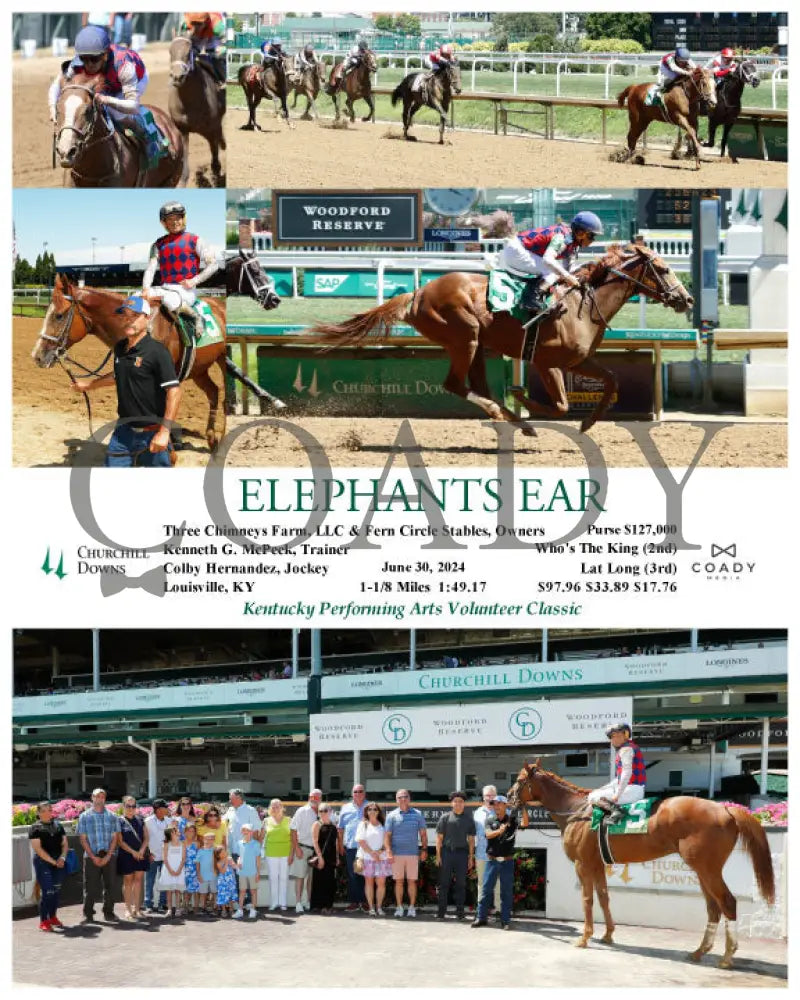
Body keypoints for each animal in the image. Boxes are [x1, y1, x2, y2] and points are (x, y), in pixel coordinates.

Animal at [30, 272, 227, 448]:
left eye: (59, 315)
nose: (37, 355)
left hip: (223, 359)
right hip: (199, 369)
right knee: (213, 392)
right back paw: (211, 438)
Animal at [53, 67, 184, 187]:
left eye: (87, 110)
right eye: (58, 109)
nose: (66, 152)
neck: (92, 173)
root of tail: (167, 121)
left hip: (170, 180)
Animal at [167, 35, 225, 188]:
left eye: (189, 53)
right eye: (170, 52)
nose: (177, 77)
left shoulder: (213, 127)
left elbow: (214, 150)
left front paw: (216, 175)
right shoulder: (182, 129)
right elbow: (185, 154)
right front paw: (183, 180)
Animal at [310, 244, 692, 436]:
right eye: (664, 269)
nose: (686, 299)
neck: (581, 307)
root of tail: (417, 293)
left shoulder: (578, 360)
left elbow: (611, 380)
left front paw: (587, 422)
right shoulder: (546, 362)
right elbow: (559, 405)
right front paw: (523, 396)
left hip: (477, 346)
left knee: (477, 384)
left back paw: (513, 419)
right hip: (464, 338)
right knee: (455, 384)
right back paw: (507, 415)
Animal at [506, 760, 776, 964]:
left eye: (519, 780)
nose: (508, 797)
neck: (577, 810)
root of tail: (726, 809)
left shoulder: (582, 864)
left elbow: (587, 900)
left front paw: (585, 938)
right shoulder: (597, 864)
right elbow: (604, 897)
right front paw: (608, 935)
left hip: (708, 869)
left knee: (728, 903)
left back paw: (727, 956)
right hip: (702, 871)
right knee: (713, 907)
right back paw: (700, 951)